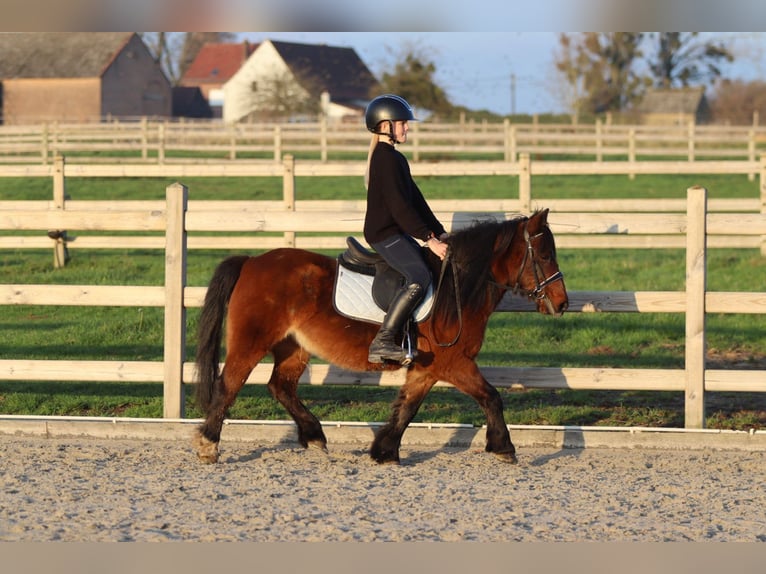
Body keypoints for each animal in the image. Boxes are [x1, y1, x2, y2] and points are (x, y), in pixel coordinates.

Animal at [193, 208, 568, 465]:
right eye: (545, 255)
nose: (562, 303)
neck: (457, 287)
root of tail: (252, 261)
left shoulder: (427, 368)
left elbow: (407, 407)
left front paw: (384, 450)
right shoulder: (455, 362)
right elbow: (492, 396)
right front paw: (504, 447)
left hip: (294, 346)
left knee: (281, 386)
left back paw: (314, 436)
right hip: (251, 341)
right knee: (229, 384)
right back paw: (209, 444)